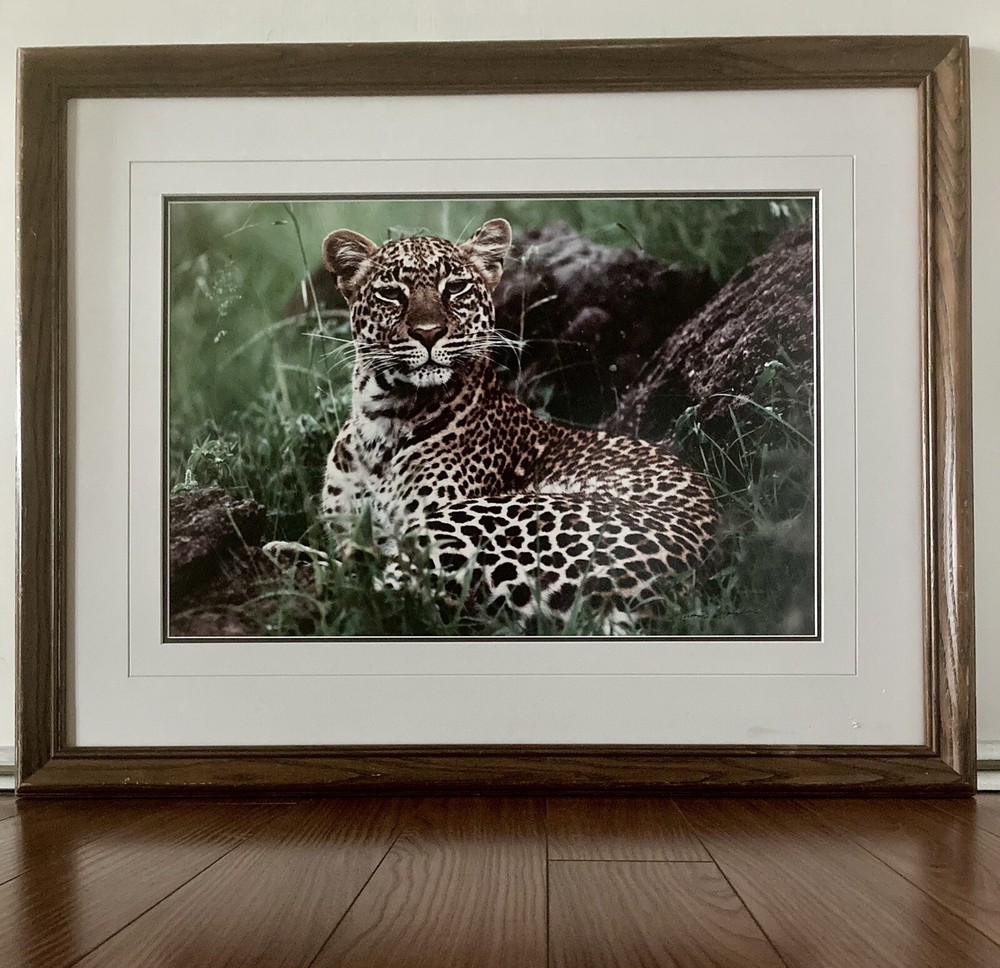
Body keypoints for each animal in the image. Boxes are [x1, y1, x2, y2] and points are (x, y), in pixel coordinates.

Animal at [291, 218, 716, 631]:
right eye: (392, 294)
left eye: (456, 288)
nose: (428, 333)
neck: (382, 419)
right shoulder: (347, 533)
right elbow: (347, 558)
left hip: (464, 522)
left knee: (382, 599)